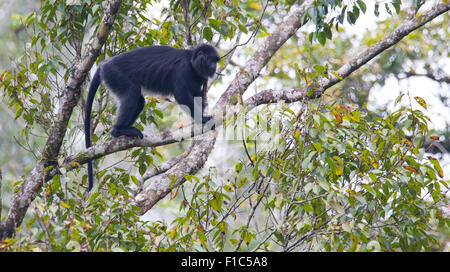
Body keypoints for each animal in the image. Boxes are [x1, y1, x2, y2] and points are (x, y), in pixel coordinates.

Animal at [85, 43, 221, 191]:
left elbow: (197, 96)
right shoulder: (184, 69)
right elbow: (182, 95)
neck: (192, 62)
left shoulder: (199, 77)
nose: (214, 67)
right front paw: (203, 119)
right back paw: (118, 130)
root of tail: (105, 64)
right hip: (113, 74)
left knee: (139, 101)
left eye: (215, 61)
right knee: (132, 90)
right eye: (211, 60)